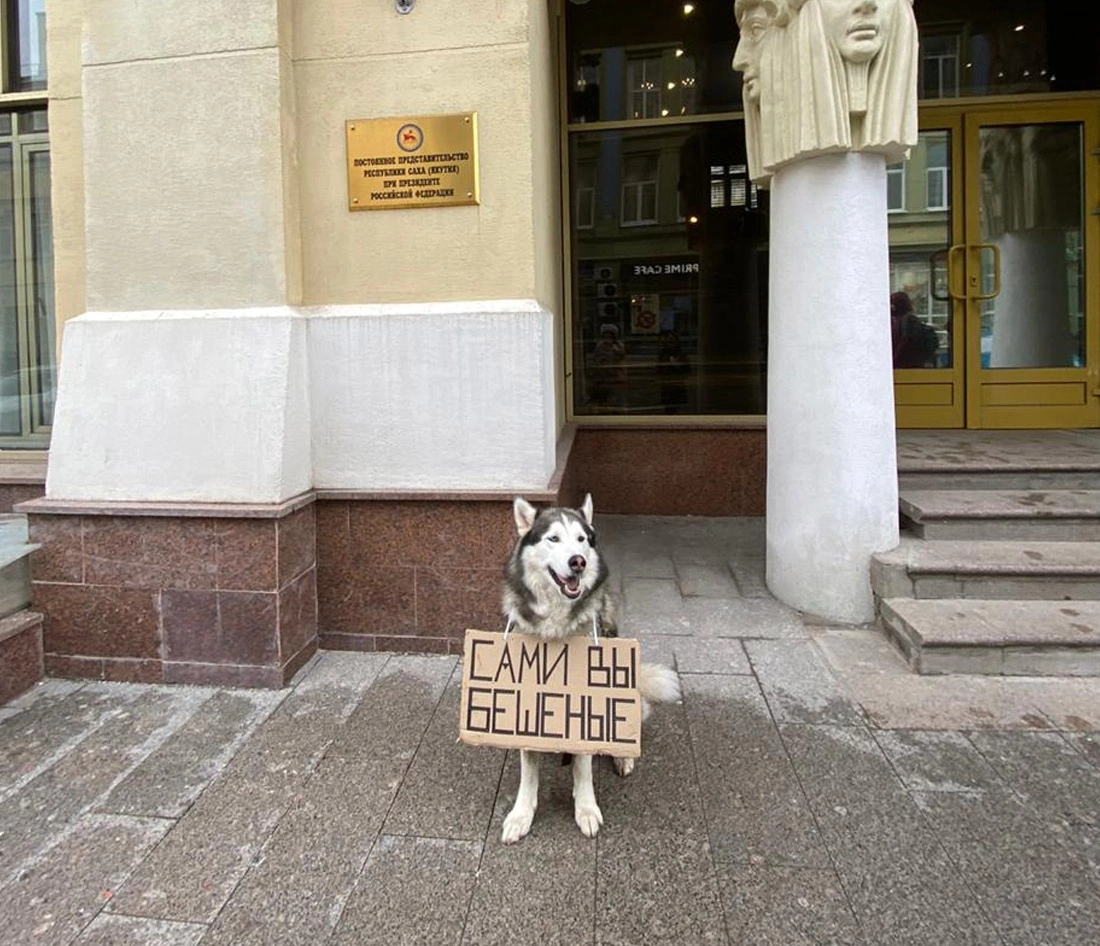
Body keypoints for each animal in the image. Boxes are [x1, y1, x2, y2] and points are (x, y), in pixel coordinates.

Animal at [499, 495, 677, 840]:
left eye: (582, 539)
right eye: (553, 538)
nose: (578, 561)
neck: (555, 630)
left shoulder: (586, 701)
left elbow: (583, 766)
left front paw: (586, 809)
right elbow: (528, 772)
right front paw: (521, 815)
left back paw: (622, 758)